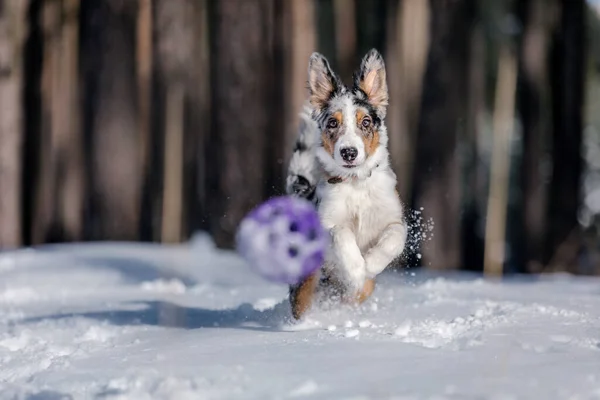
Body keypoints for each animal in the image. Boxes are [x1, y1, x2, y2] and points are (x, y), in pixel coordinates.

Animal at [286, 48, 408, 320]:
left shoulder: (392, 217)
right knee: (302, 301)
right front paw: (355, 270)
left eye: (365, 122)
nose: (349, 152)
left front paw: (370, 264)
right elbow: (341, 233)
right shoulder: (327, 222)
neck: (356, 184)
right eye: (333, 123)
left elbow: (395, 236)